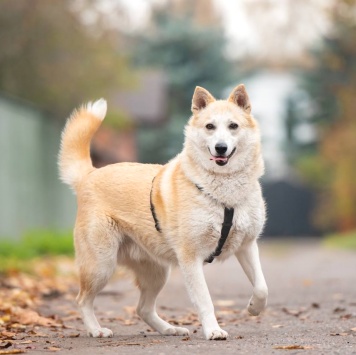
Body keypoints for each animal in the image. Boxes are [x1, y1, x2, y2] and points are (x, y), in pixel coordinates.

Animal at [59, 84, 268, 342]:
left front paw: (254, 308)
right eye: (210, 126)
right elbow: (205, 300)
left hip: (157, 273)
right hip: (101, 265)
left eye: (233, 126)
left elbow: (262, 287)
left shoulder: (247, 245)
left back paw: (169, 329)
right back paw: (96, 329)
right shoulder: (191, 258)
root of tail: (89, 174)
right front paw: (213, 330)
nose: (221, 148)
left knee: (143, 309)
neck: (224, 194)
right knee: (82, 300)